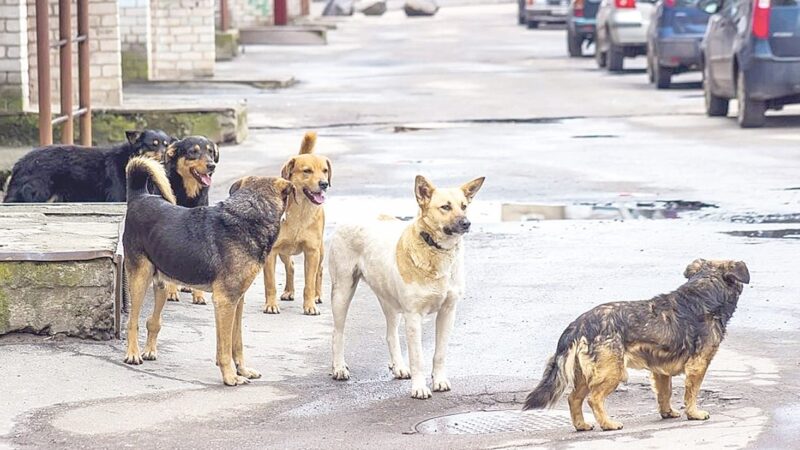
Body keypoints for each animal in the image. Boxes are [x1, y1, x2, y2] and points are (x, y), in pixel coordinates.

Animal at [3, 128, 172, 202]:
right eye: (153, 145)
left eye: (166, 145)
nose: (165, 155)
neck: (129, 158)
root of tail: (20, 163)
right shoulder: (117, 198)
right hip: (35, 194)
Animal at [126, 156, 296, 384]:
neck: (251, 213)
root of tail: (140, 196)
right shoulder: (225, 301)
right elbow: (225, 347)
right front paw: (230, 377)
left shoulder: (237, 300)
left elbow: (236, 342)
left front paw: (242, 370)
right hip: (140, 278)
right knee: (132, 321)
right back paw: (133, 354)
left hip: (161, 283)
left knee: (152, 320)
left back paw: (149, 350)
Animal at [260, 132, 328, 314]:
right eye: (307, 171)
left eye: (325, 171)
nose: (324, 184)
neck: (300, 211)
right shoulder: (271, 252)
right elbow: (270, 283)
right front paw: (271, 304)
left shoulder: (312, 251)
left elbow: (309, 283)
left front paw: (310, 305)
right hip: (284, 251)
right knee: (290, 266)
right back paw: (289, 291)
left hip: (320, 250)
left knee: (319, 271)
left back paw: (318, 295)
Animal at [328, 174, 484, 400]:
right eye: (445, 207)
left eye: (464, 206)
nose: (466, 223)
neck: (435, 250)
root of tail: (355, 214)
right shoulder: (413, 316)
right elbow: (418, 357)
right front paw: (419, 388)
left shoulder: (448, 312)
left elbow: (440, 353)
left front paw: (439, 380)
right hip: (342, 291)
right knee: (337, 333)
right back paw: (339, 367)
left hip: (389, 301)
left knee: (390, 334)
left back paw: (399, 367)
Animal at [524, 260, 752, 432]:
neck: (705, 292)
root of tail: (578, 324)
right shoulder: (698, 365)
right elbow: (691, 393)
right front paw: (694, 413)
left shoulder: (660, 370)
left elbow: (665, 393)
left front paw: (667, 413)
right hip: (612, 372)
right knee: (593, 399)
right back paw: (608, 424)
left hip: (584, 375)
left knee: (573, 399)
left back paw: (581, 425)